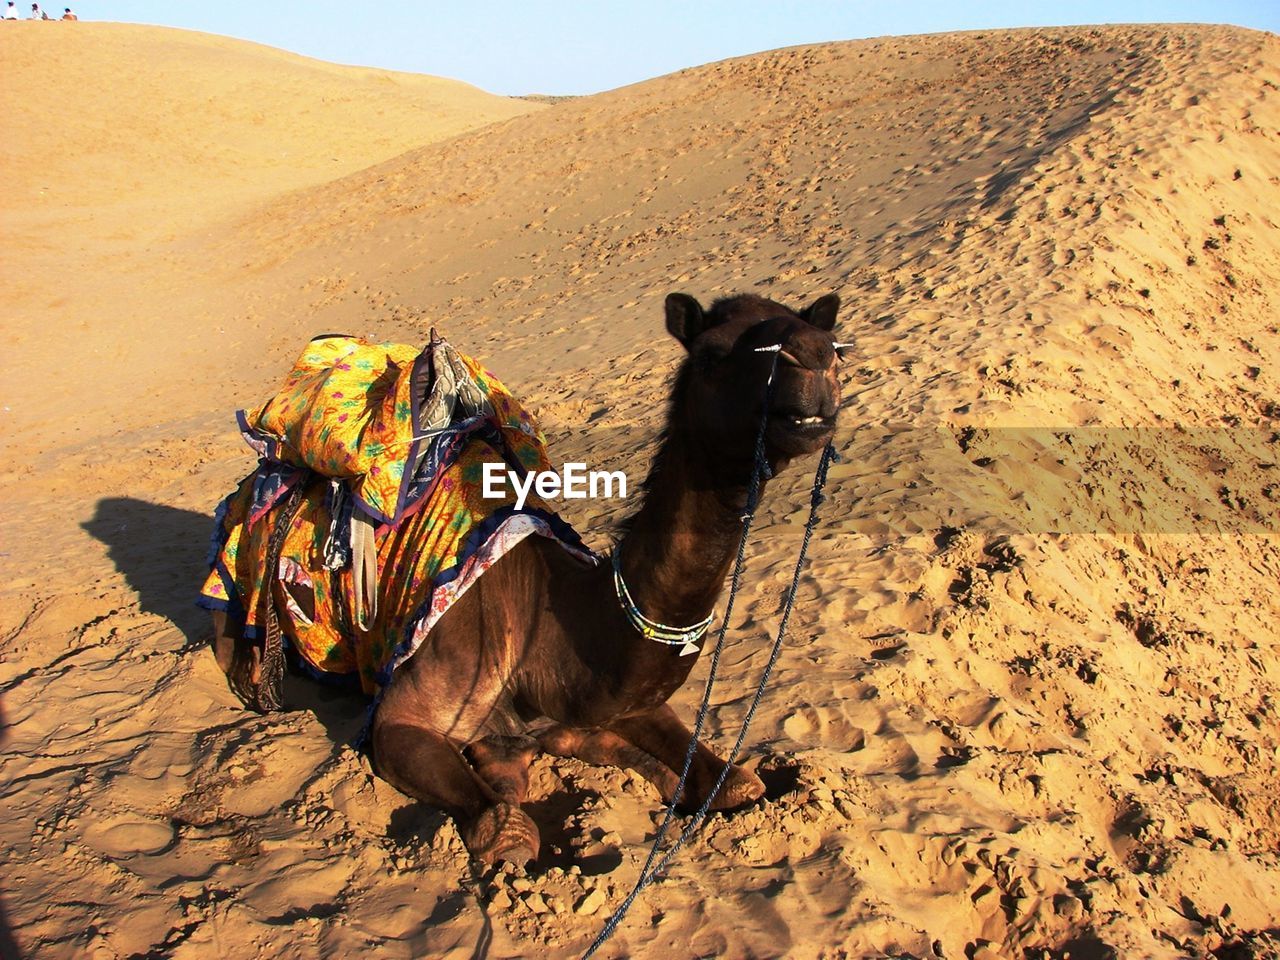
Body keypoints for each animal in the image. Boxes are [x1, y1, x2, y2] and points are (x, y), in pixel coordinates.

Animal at [215, 291, 844, 865]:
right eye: (712, 352)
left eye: (827, 340)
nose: (817, 357)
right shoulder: (405, 717)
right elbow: (508, 825)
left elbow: (734, 780)